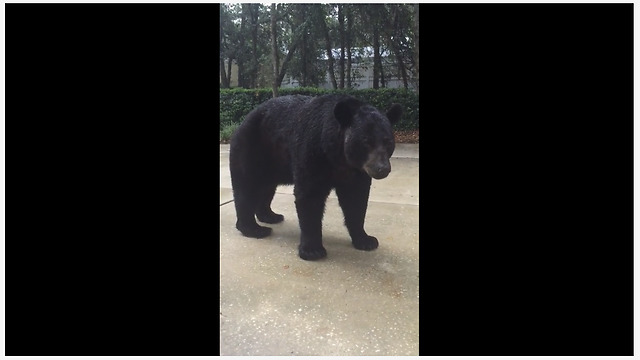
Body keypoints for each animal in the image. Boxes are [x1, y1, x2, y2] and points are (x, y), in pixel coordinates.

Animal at [229, 94, 400, 260]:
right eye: (366, 141)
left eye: (388, 141)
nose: (382, 168)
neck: (338, 157)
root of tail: (243, 122)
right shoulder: (312, 153)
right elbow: (310, 196)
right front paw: (312, 250)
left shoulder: (356, 171)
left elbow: (356, 200)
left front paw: (366, 240)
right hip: (252, 148)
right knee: (246, 188)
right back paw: (254, 229)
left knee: (267, 188)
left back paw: (270, 215)